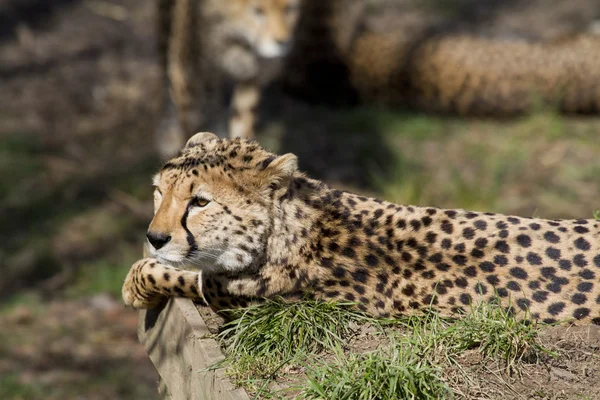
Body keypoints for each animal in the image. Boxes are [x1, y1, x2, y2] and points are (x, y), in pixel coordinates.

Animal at [122, 133, 600, 326]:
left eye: (200, 202)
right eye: (158, 192)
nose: (155, 236)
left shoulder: (238, 297)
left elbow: (178, 273)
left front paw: (136, 283)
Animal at [156, 0, 302, 157]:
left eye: (289, 8)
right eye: (258, 10)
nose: (283, 42)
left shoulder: (250, 77)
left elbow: (242, 124)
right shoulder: (187, 75)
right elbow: (190, 122)